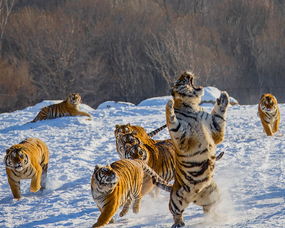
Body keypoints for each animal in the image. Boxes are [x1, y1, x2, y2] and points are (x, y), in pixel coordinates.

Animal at [164, 71, 229, 228]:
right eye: (181, 80)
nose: (186, 73)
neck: (192, 107)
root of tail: (194, 196)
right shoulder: (182, 136)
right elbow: (172, 121)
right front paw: (169, 104)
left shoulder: (215, 129)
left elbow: (219, 116)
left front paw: (223, 98)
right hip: (176, 198)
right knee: (176, 212)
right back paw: (178, 224)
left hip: (213, 193)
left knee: (209, 208)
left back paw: (217, 218)